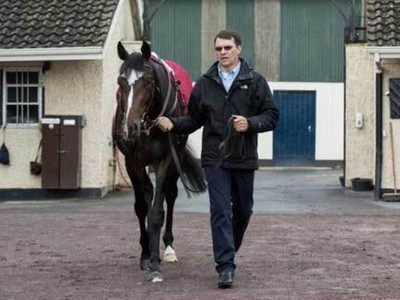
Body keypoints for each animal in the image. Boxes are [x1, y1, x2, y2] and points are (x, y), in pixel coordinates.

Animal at [112, 41, 206, 282]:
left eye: (146, 80)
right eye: (120, 82)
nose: (130, 127)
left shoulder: (165, 160)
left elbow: (156, 212)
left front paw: (155, 264)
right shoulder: (132, 161)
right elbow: (141, 207)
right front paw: (146, 255)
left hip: (177, 155)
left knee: (170, 195)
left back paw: (169, 248)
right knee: (147, 193)